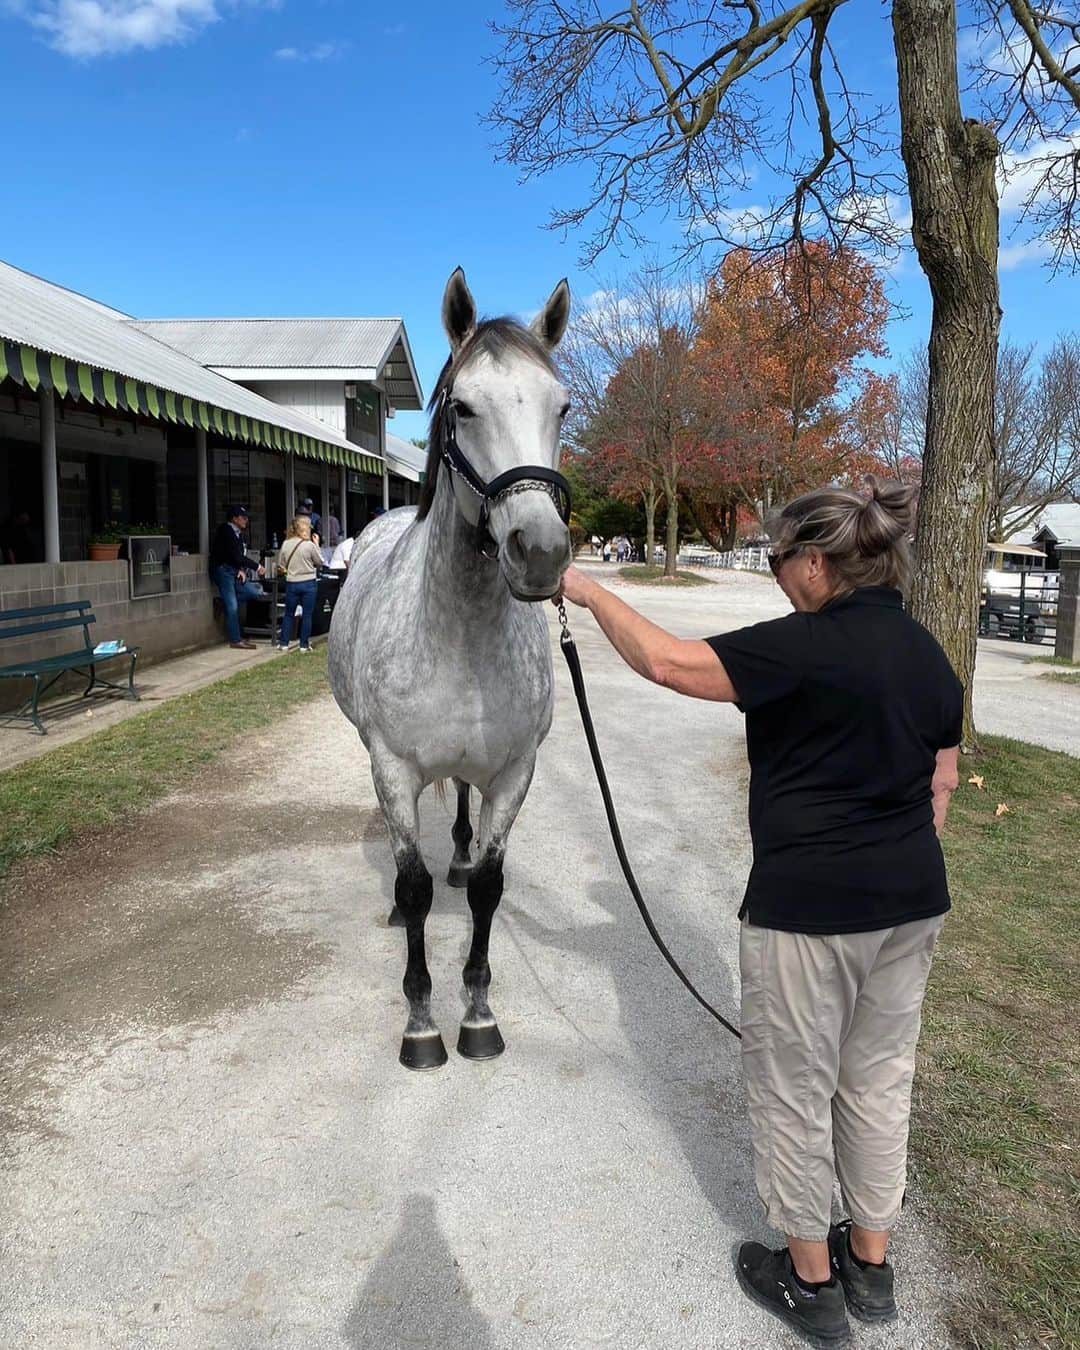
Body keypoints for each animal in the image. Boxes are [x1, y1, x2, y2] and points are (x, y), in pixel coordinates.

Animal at [329, 268, 572, 1069]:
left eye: (563, 406)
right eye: (462, 407)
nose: (541, 553)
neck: (460, 636)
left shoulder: (514, 771)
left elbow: (490, 888)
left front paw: (478, 1011)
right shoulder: (393, 768)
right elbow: (413, 889)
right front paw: (421, 1022)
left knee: (462, 808)